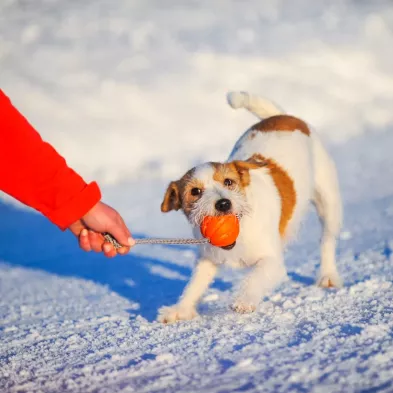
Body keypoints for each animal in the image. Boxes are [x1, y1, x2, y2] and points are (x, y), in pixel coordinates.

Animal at [158, 91, 342, 322]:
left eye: (229, 182)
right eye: (195, 191)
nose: (223, 203)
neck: (241, 227)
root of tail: (283, 116)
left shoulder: (272, 261)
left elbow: (256, 277)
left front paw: (244, 301)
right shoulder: (208, 258)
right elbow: (195, 284)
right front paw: (180, 310)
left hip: (328, 201)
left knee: (327, 239)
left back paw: (328, 275)